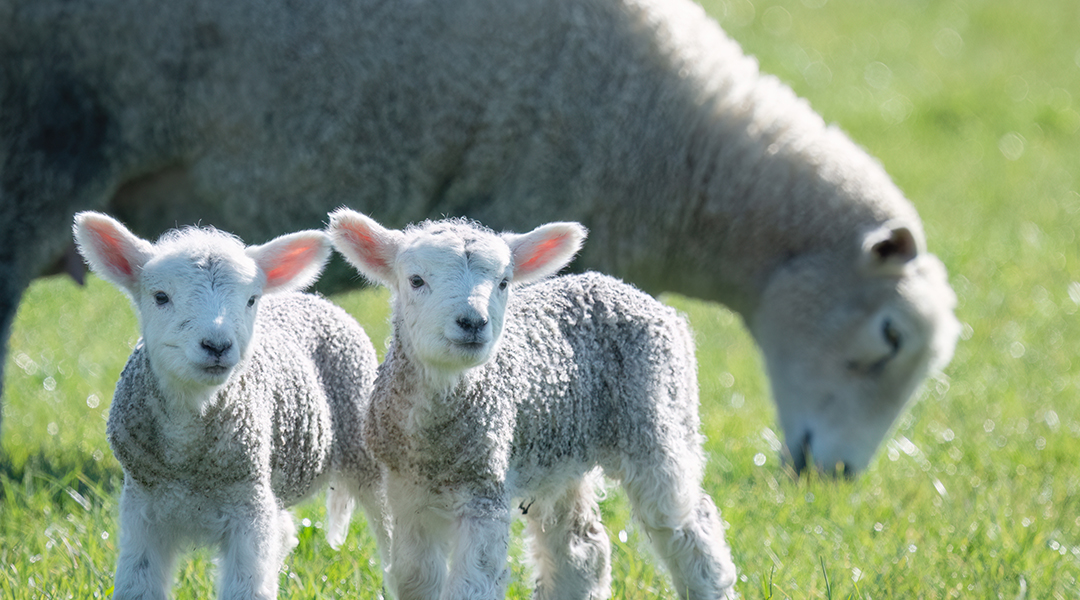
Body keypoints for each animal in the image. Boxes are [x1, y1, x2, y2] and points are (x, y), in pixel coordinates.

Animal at [72, 211, 387, 600]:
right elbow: (138, 583)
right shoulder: (141, 509)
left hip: (366, 449)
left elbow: (248, 587)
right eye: (160, 296)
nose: (217, 345)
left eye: (251, 300)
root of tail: (310, 298)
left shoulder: (248, 509)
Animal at [328, 208, 737, 600]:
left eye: (504, 283)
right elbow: (415, 580)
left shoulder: (484, 490)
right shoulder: (405, 494)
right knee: (580, 544)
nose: (473, 322)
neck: (434, 440)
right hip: (560, 449)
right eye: (415, 280)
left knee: (685, 520)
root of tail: (618, 286)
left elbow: (471, 586)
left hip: (659, 412)